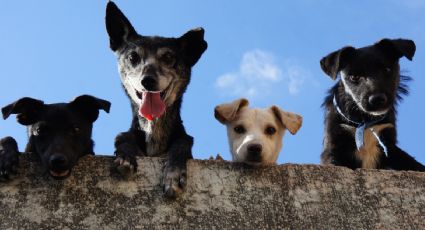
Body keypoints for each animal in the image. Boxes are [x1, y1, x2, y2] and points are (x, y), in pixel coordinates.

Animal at [104, 1, 207, 198]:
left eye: (168, 57)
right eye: (133, 57)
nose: (148, 81)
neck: (153, 129)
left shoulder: (183, 142)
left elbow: (181, 143)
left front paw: (173, 174)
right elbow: (123, 137)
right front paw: (126, 156)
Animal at [320, 37, 422, 171]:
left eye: (386, 69)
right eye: (354, 77)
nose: (377, 99)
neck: (365, 122)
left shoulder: (389, 144)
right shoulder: (334, 145)